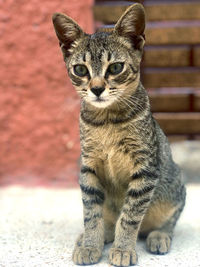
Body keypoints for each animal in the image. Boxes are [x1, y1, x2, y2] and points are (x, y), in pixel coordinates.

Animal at [52, 4, 186, 267]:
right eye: (80, 69)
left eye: (115, 68)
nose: (96, 88)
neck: (107, 122)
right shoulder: (88, 167)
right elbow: (91, 213)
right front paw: (91, 244)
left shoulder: (145, 169)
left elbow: (130, 216)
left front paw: (123, 249)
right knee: (106, 218)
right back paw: (93, 236)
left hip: (175, 189)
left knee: (169, 220)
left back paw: (159, 236)